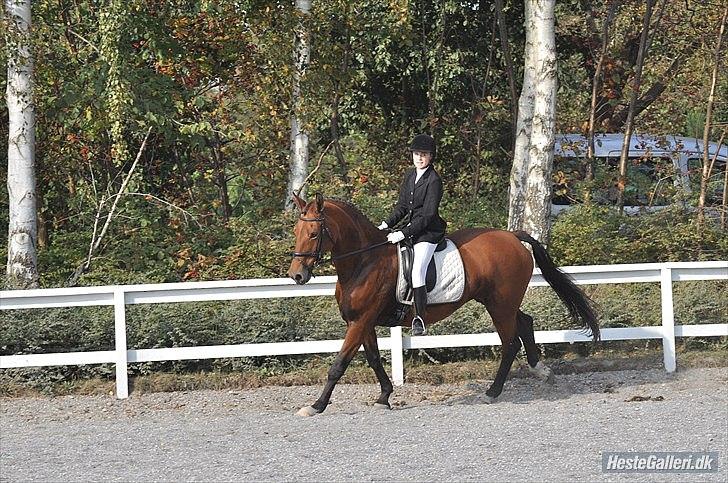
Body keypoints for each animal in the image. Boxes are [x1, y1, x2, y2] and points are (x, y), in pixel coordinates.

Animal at [284, 193, 596, 416]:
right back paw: (540, 370)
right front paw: (384, 396)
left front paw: (316, 405)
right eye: (296, 231)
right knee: (525, 322)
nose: (296, 275)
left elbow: (339, 364)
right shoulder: (362, 322)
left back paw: (493, 392)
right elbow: (373, 359)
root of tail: (512, 236)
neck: (364, 260)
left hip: (500, 305)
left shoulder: (360, 321)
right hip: (500, 302)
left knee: (510, 342)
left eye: (313, 234)